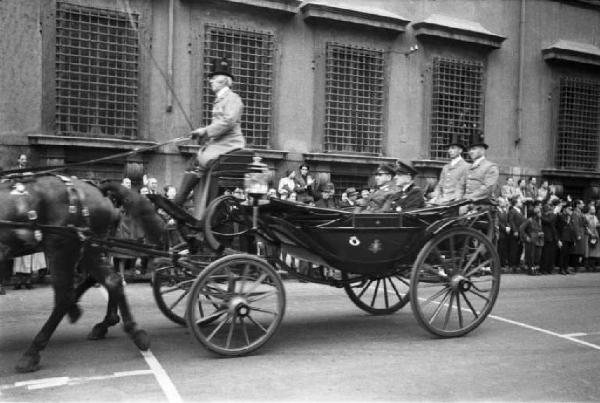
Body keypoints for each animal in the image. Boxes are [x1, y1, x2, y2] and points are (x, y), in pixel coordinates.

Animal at [0, 175, 165, 374]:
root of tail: (98, 190)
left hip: (63, 248)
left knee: (65, 296)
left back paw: (32, 353)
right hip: (88, 248)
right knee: (111, 280)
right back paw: (123, 328)